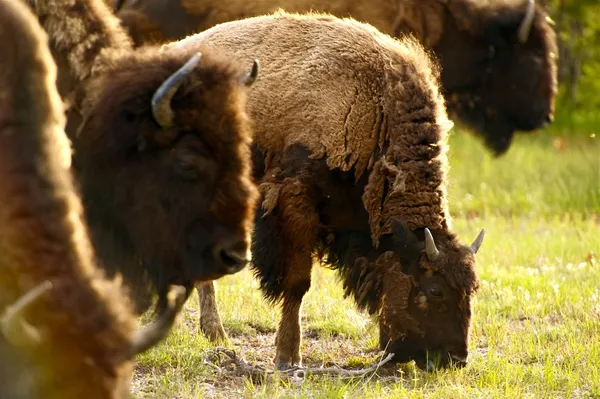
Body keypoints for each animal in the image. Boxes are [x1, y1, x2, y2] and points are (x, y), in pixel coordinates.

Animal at [164, 10, 488, 370]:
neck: (375, 107)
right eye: (435, 290)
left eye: (472, 289)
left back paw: (213, 333)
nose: (456, 358)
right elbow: (298, 283)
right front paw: (287, 356)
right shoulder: (295, 205)